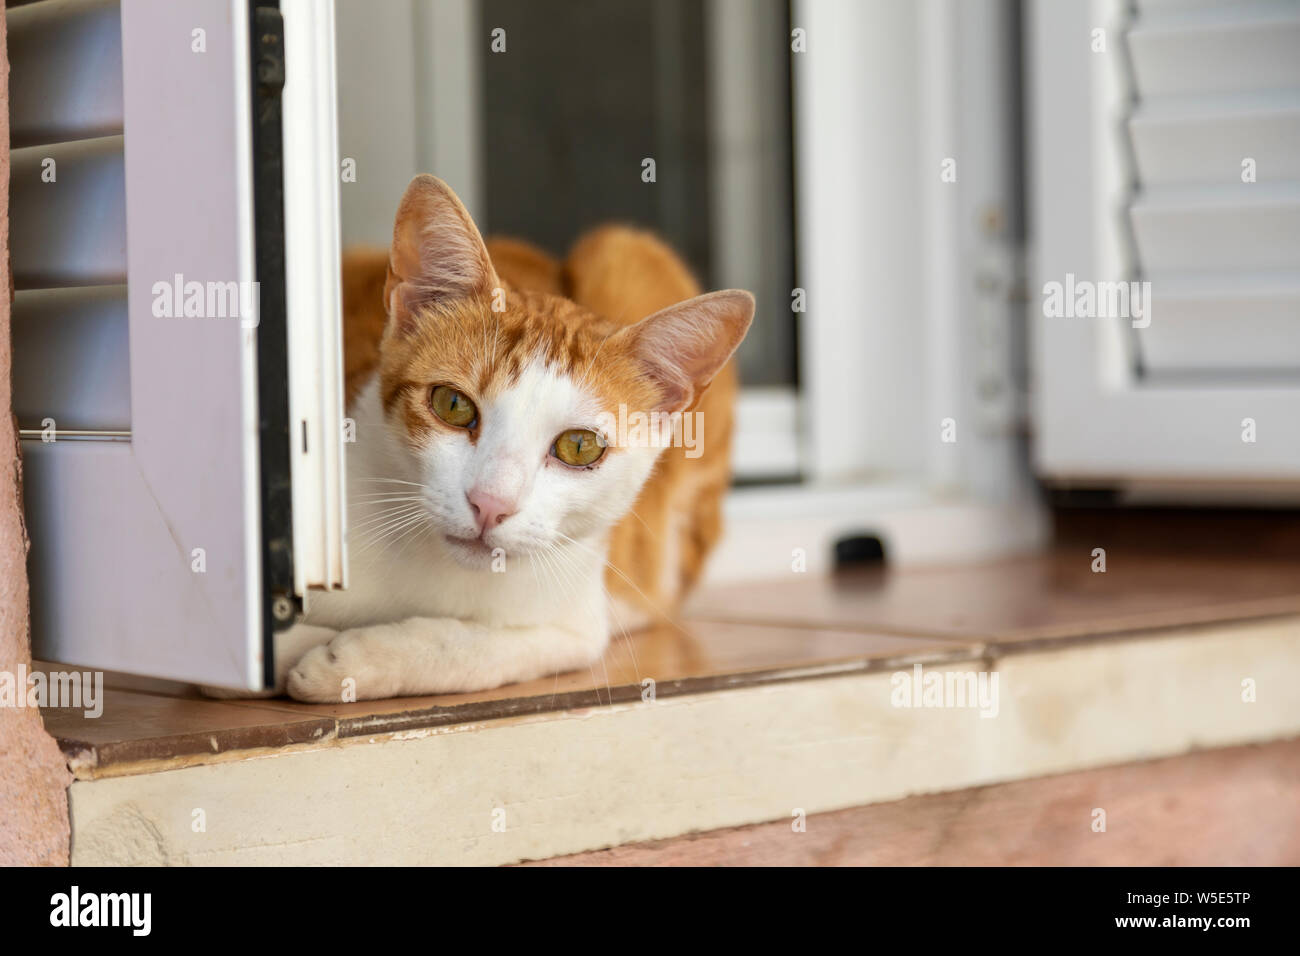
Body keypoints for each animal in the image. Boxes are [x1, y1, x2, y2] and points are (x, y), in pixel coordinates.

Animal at [261, 178, 754, 702]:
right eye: (452, 405)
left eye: (580, 446)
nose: (490, 504)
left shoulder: (577, 621)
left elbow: (493, 649)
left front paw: (354, 662)